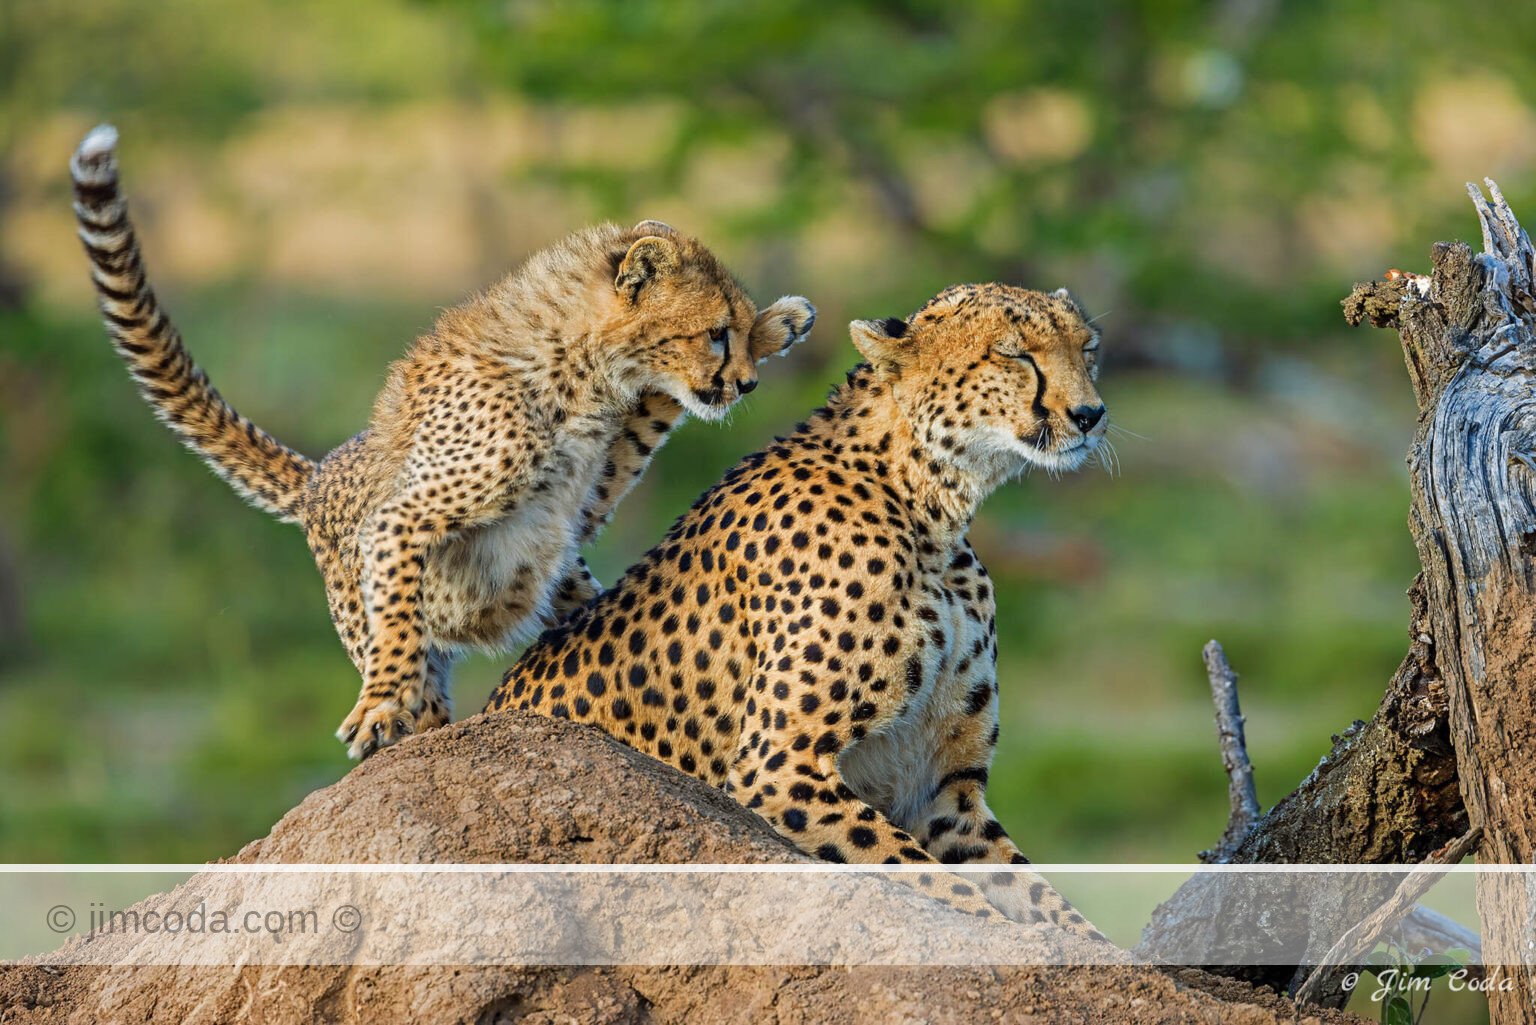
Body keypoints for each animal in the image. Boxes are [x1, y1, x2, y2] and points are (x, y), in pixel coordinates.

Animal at [69, 124, 816, 760]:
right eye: (714, 333)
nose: (746, 383)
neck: (578, 360)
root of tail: (321, 471)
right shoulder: (405, 517)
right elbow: (401, 614)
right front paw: (379, 702)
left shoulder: (586, 494)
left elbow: (657, 411)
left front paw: (783, 321)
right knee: (423, 684)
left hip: (568, 580)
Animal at [485, 282, 1111, 934]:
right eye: (1015, 354)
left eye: (1087, 348)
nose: (1090, 416)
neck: (926, 503)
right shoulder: (777, 767)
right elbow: (942, 888)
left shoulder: (945, 792)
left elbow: (1045, 905)